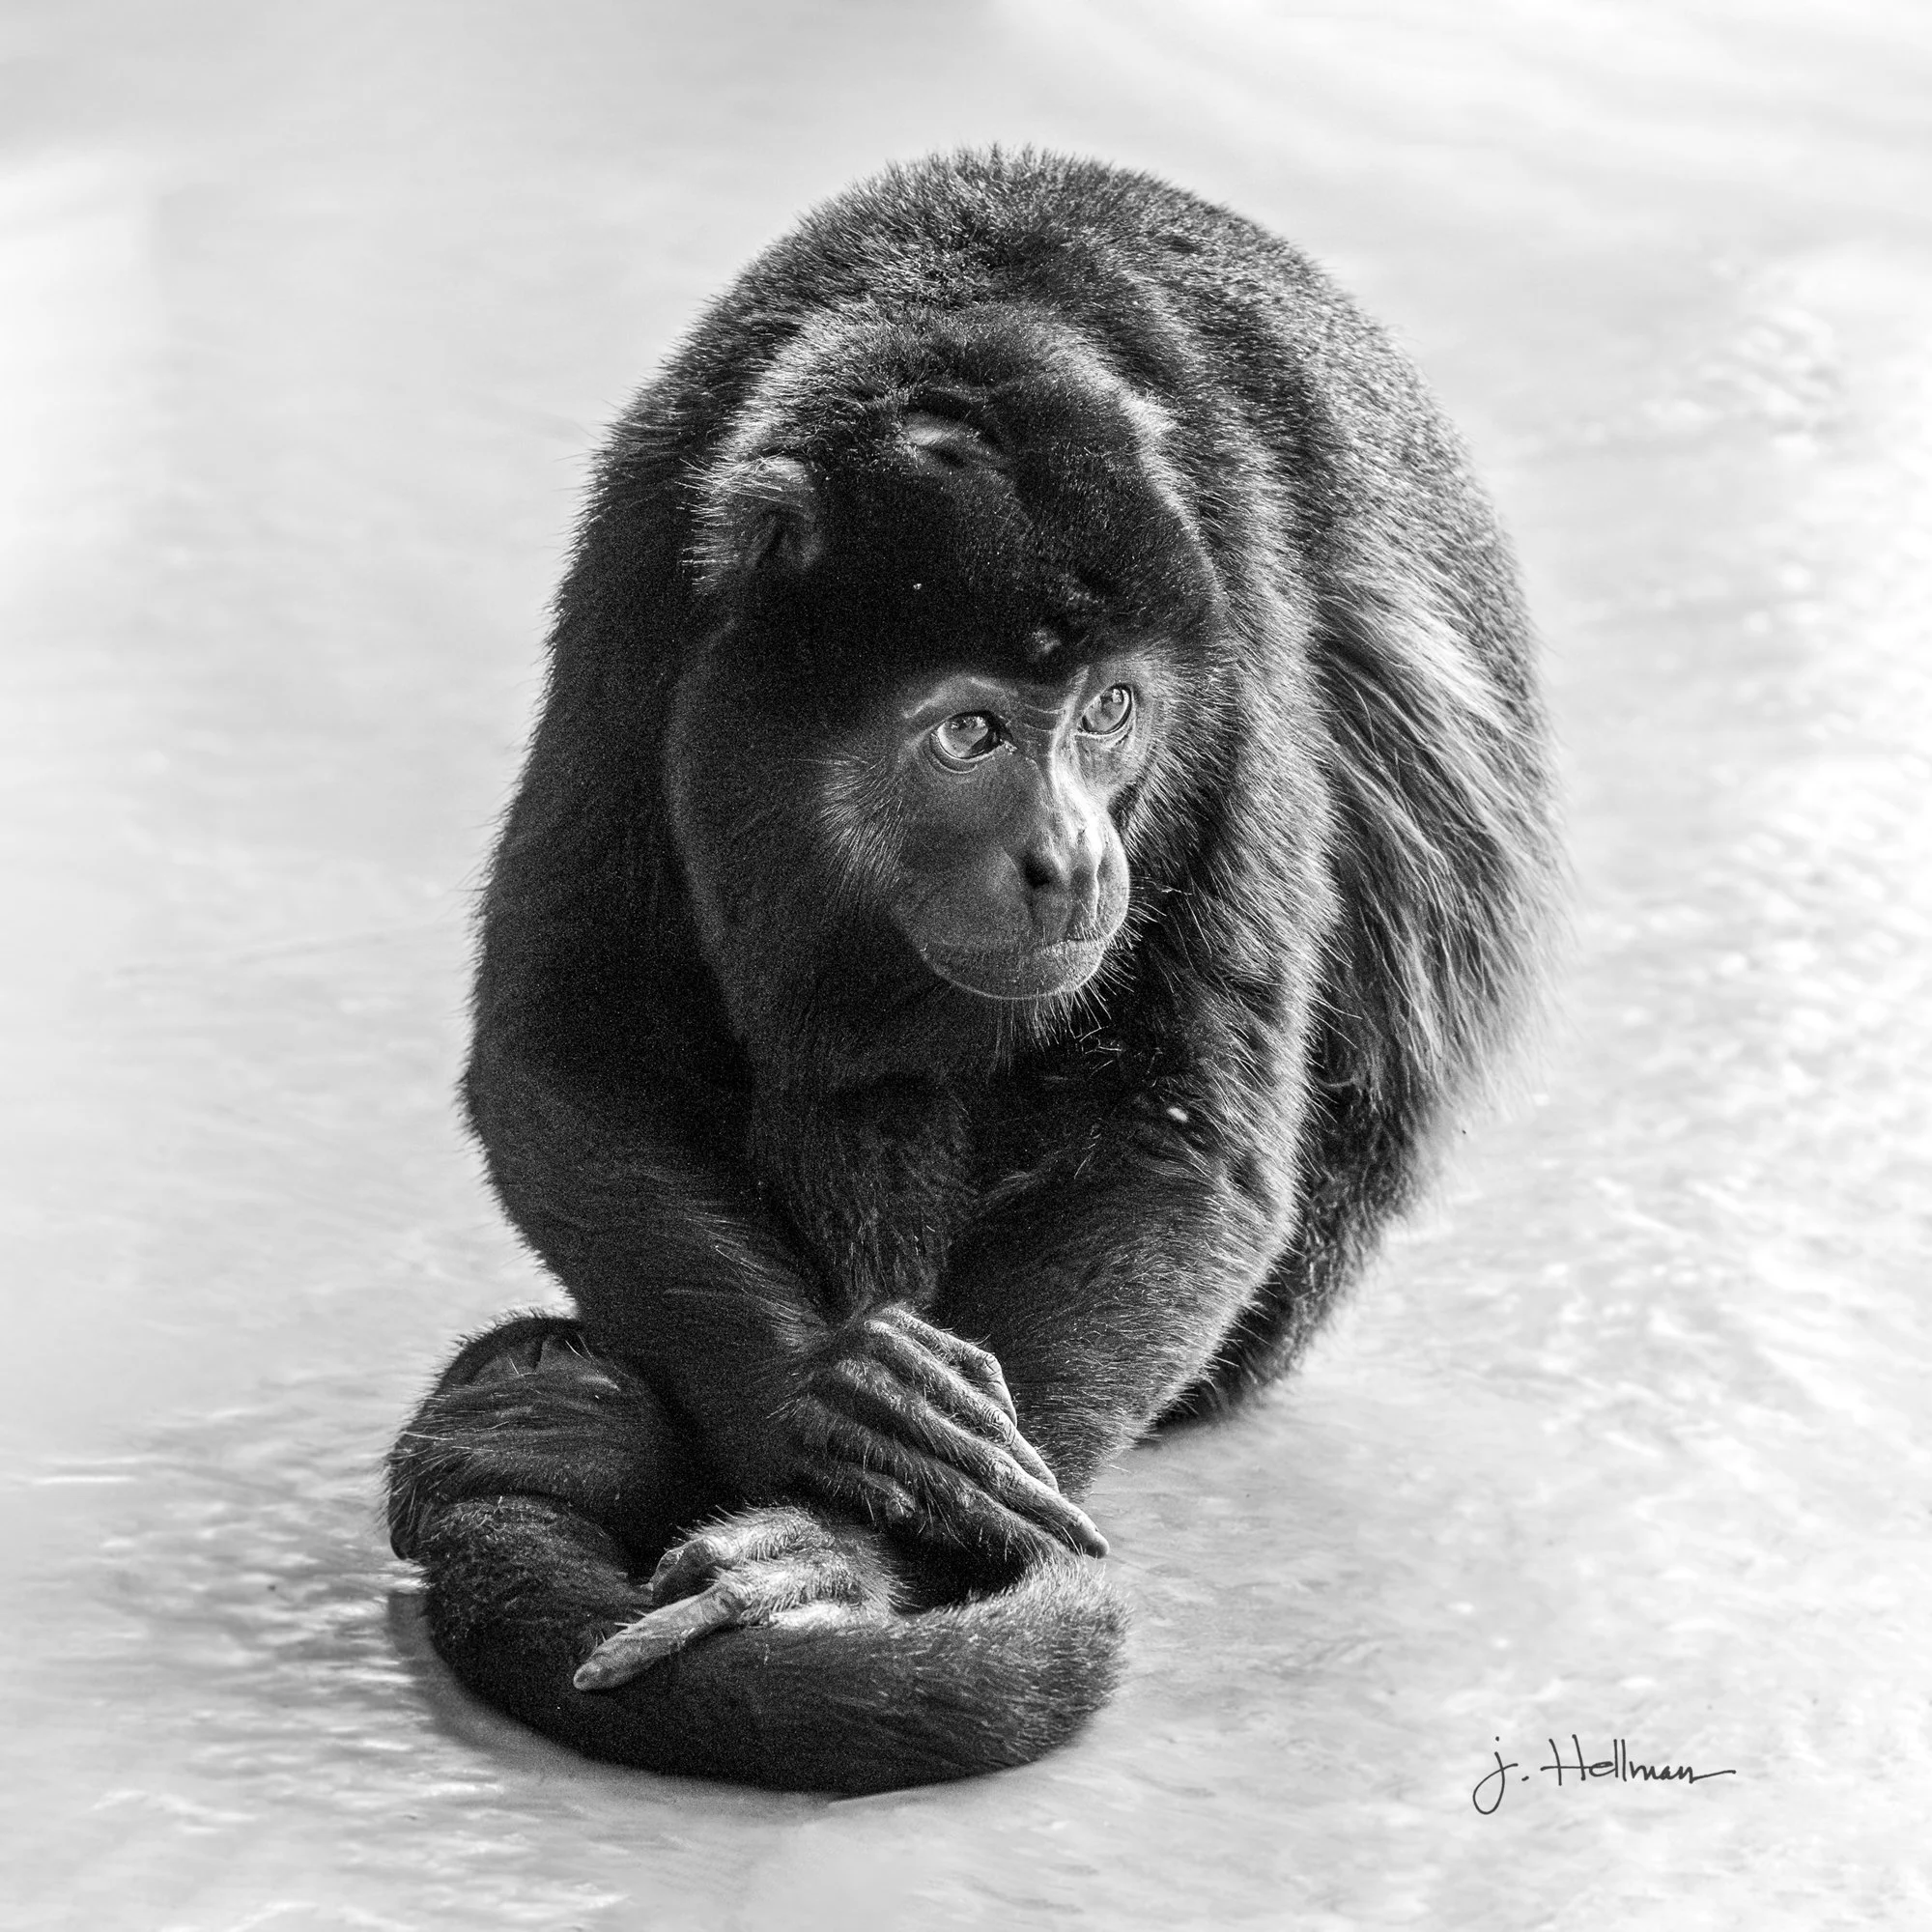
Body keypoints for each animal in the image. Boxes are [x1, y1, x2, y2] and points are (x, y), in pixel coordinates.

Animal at [386, 149, 1556, 1795]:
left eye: (1111, 712)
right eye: (970, 730)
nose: (1071, 860)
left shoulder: (1231, 623)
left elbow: (1177, 1144)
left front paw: (834, 1555)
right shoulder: (644, 589)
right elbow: (567, 1049)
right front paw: (830, 1406)